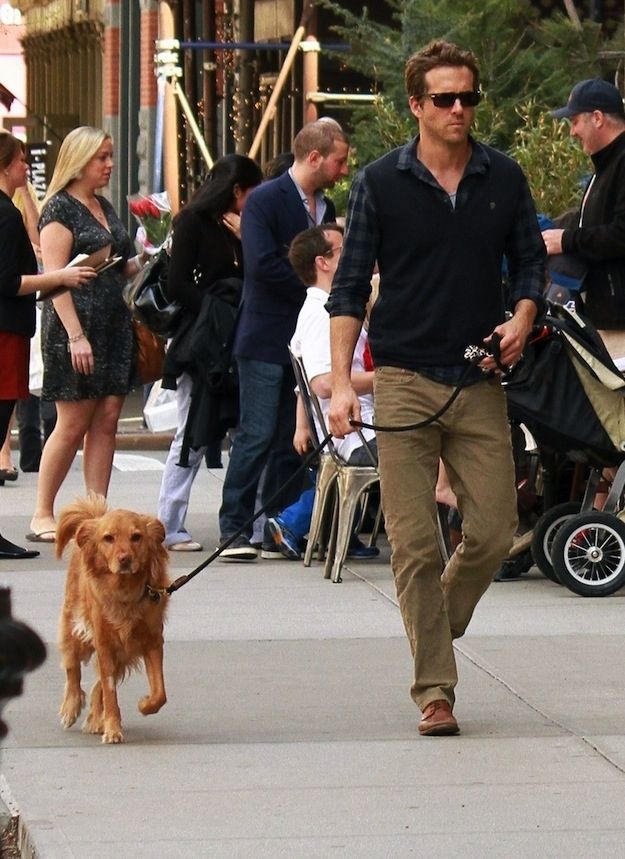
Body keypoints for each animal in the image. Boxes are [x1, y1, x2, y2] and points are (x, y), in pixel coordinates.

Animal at [54, 494, 168, 744]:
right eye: (108, 538)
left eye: (136, 537)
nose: (125, 559)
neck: (125, 592)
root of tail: (94, 518)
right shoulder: (104, 642)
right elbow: (109, 691)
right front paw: (113, 729)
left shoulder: (152, 642)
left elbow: (160, 692)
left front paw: (145, 705)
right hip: (74, 625)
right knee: (72, 665)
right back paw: (71, 706)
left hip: (123, 651)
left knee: (99, 683)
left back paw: (95, 718)